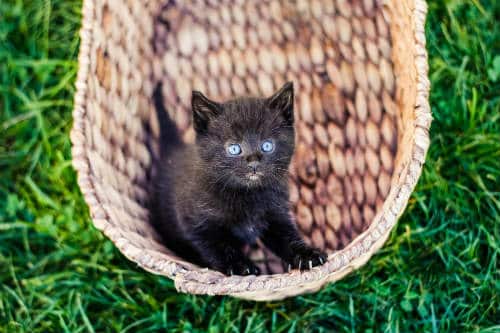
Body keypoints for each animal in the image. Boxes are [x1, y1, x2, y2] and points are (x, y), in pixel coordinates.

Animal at [150, 81, 326, 274]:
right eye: (234, 148)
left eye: (267, 145)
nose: (254, 163)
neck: (246, 193)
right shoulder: (196, 223)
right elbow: (219, 247)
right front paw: (240, 266)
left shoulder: (276, 213)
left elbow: (287, 237)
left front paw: (307, 255)